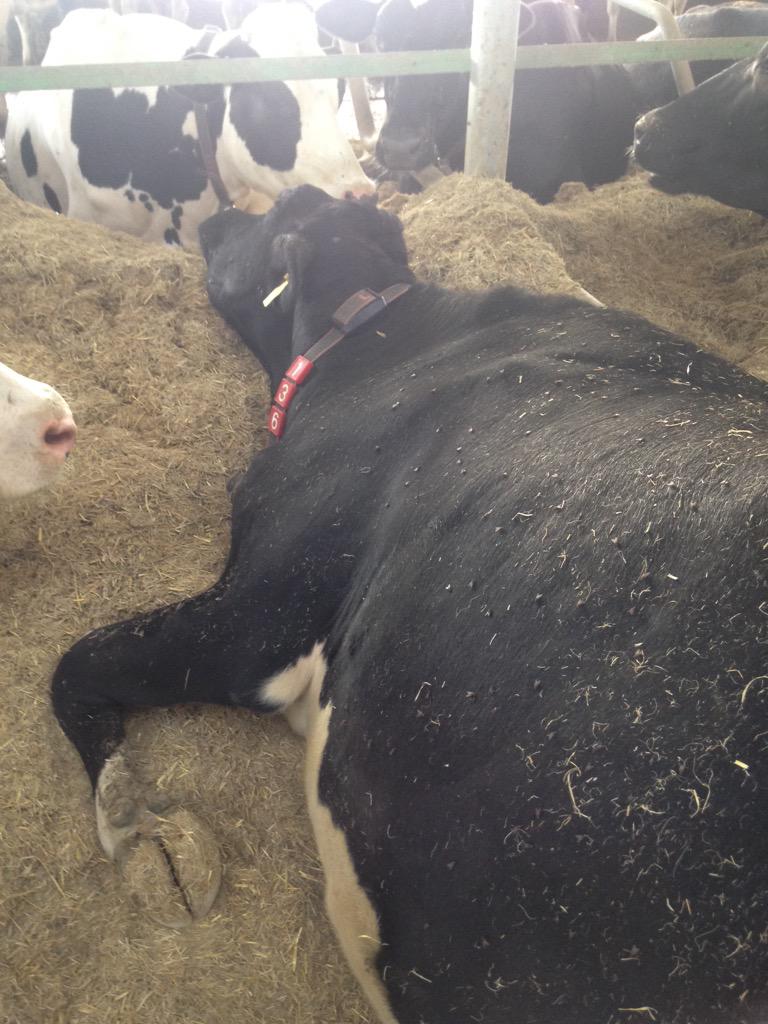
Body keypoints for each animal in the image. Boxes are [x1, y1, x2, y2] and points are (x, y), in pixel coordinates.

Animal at [51, 185, 768, 1024]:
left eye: (281, 209)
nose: (219, 214)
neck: (380, 336)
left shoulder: (260, 613)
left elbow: (75, 664)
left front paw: (138, 831)